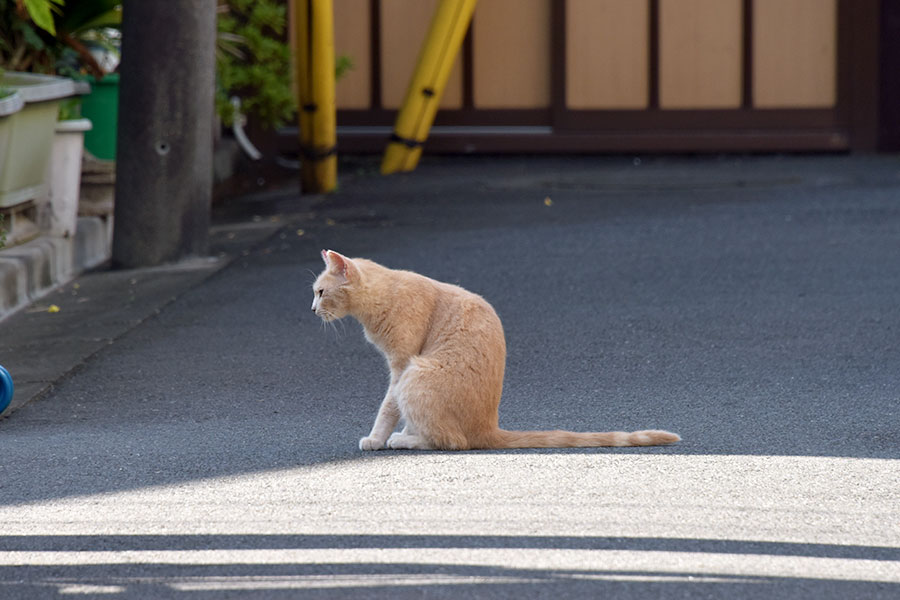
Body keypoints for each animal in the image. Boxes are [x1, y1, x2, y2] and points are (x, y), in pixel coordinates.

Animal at [312, 248, 680, 450]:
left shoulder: (401, 366)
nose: (312, 310)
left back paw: (405, 439)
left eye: (319, 292)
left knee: (452, 441)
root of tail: (488, 427)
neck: (383, 294)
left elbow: (387, 408)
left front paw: (376, 438)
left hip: (418, 374)